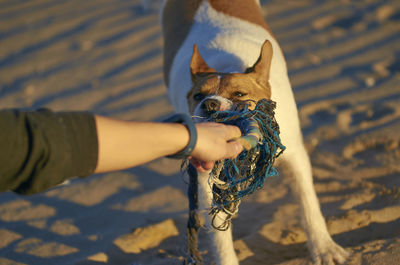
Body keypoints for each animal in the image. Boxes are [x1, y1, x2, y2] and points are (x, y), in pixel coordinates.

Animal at [160, 1, 350, 262]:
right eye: (198, 96)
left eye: (239, 94)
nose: (210, 104)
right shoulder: (207, 177)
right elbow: (219, 234)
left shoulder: (295, 157)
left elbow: (308, 203)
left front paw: (324, 248)